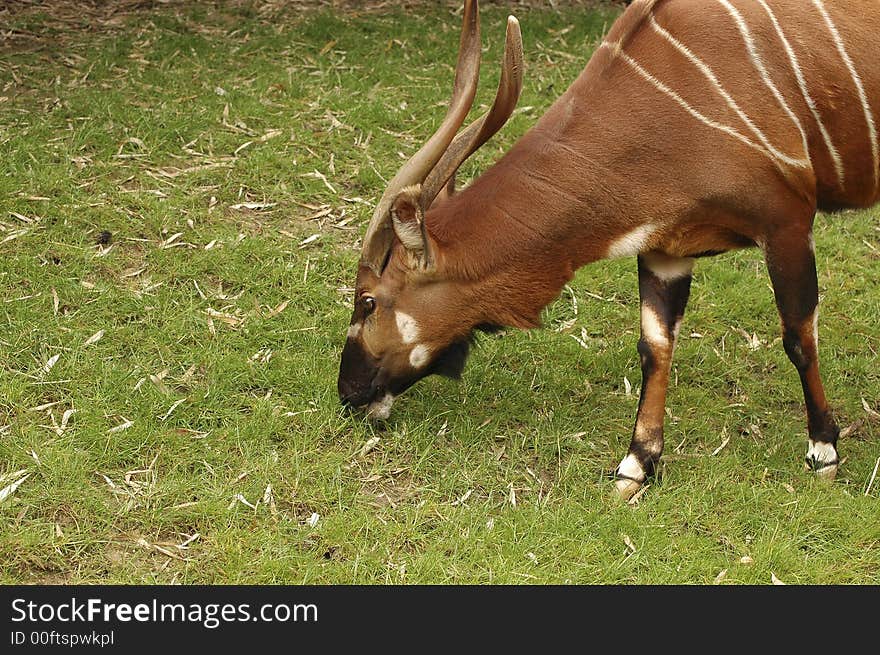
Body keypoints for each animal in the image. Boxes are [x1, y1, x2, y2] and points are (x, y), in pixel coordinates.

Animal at [336, 0, 880, 500]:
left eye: (368, 301)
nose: (348, 393)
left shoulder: (787, 223)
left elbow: (798, 337)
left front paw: (824, 453)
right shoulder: (665, 249)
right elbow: (654, 347)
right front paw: (635, 467)